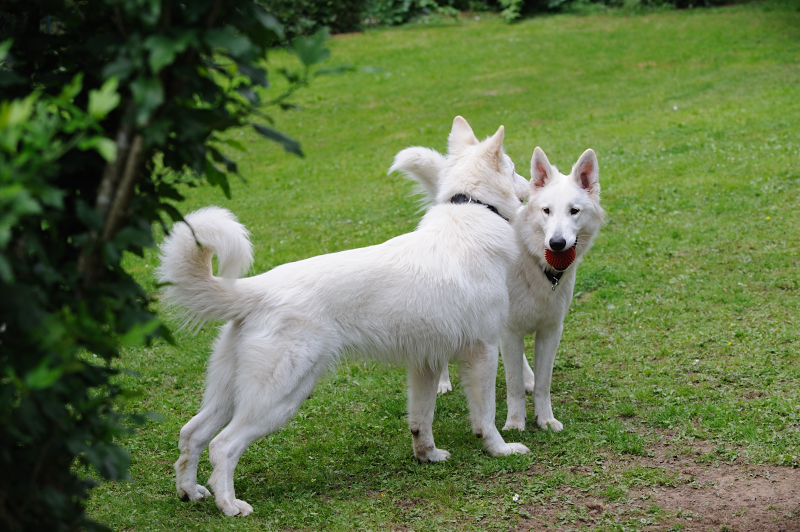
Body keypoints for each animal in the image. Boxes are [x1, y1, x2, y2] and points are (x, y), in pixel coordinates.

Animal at [159, 115, 528, 516]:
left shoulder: (426, 363)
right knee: (223, 445)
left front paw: (427, 456)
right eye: (514, 168)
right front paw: (500, 448)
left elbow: (421, 419)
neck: (473, 208)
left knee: (191, 435)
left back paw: (190, 492)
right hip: (279, 398)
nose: (530, 188)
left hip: (230, 393)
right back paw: (229, 505)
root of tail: (258, 289)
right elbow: (486, 414)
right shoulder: (484, 351)